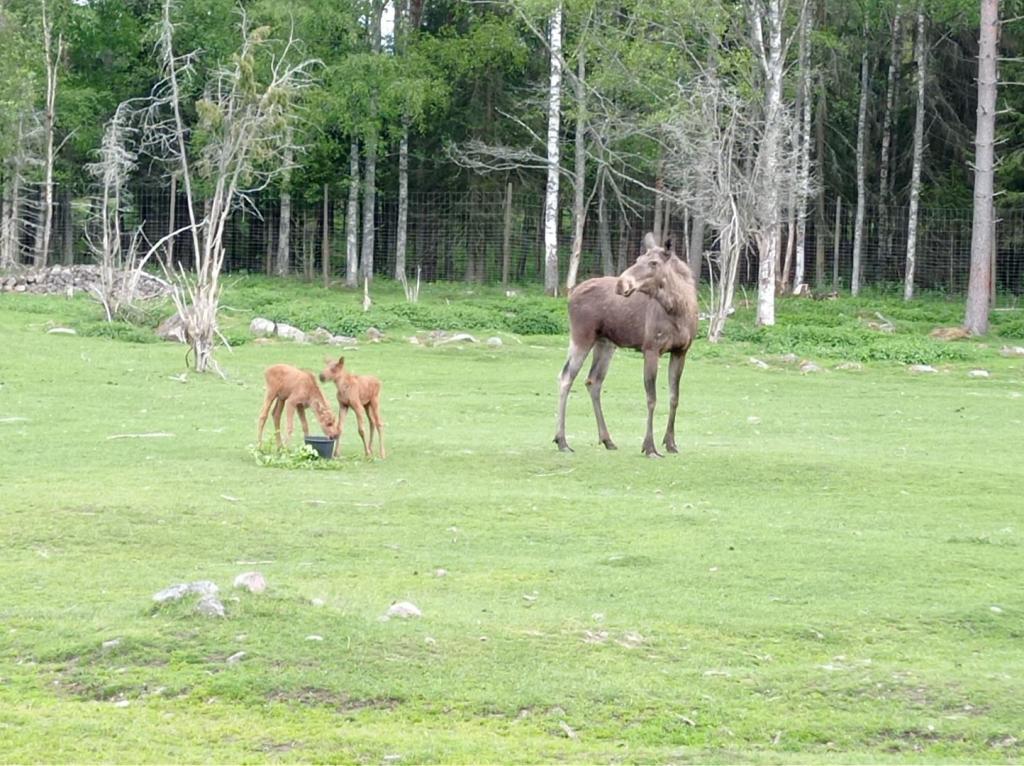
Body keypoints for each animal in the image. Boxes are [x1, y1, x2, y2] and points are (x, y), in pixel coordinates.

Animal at [557, 233, 700, 458]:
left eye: (653, 262)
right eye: (637, 259)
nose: (621, 284)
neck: (678, 309)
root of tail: (570, 295)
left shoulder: (681, 351)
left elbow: (674, 397)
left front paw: (670, 443)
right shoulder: (651, 349)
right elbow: (651, 398)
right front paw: (649, 447)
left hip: (605, 343)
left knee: (593, 380)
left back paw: (607, 440)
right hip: (581, 337)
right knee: (566, 377)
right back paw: (562, 441)